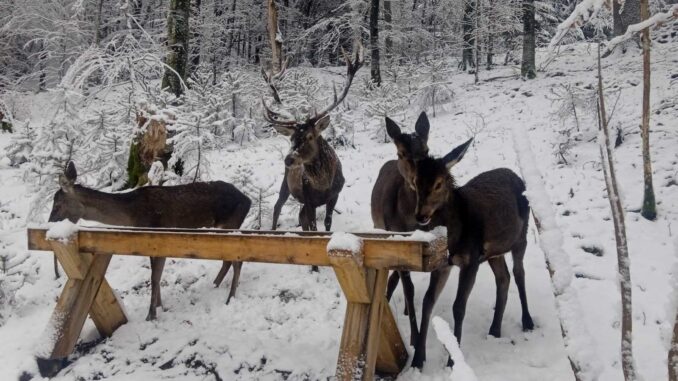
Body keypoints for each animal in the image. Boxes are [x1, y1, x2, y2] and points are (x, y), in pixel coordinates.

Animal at [49, 162, 252, 320]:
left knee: (238, 260)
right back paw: (215, 285)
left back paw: (230, 297)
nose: (49, 224)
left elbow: (154, 277)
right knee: (228, 260)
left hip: (231, 223)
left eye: (57, 204)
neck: (133, 215)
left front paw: (151, 314)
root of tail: (248, 200)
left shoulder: (159, 237)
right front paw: (160, 306)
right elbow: (156, 275)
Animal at [264, 43, 364, 270]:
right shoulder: (308, 198)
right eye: (292, 137)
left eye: (309, 136)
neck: (323, 185)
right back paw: (272, 232)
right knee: (278, 207)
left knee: (300, 217)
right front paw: (315, 266)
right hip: (286, 185)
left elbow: (326, 224)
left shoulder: (334, 196)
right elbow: (313, 227)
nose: (289, 159)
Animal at [406, 143, 540, 368]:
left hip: (521, 236)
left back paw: (527, 321)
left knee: (519, 272)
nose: (421, 215)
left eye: (439, 183)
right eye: (415, 181)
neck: (454, 238)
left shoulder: (471, 260)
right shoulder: (443, 263)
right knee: (504, 277)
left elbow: (459, 307)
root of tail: (515, 175)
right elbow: (427, 301)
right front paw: (418, 359)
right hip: (494, 252)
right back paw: (494, 330)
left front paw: (452, 361)